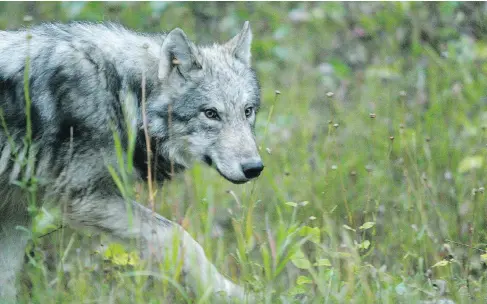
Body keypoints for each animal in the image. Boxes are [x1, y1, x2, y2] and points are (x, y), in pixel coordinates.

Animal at [0, 20, 264, 302]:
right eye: (211, 113)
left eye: (247, 111)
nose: (254, 168)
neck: (121, 94)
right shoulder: (86, 198)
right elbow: (180, 236)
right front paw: (230, 293)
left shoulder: (16, 212)